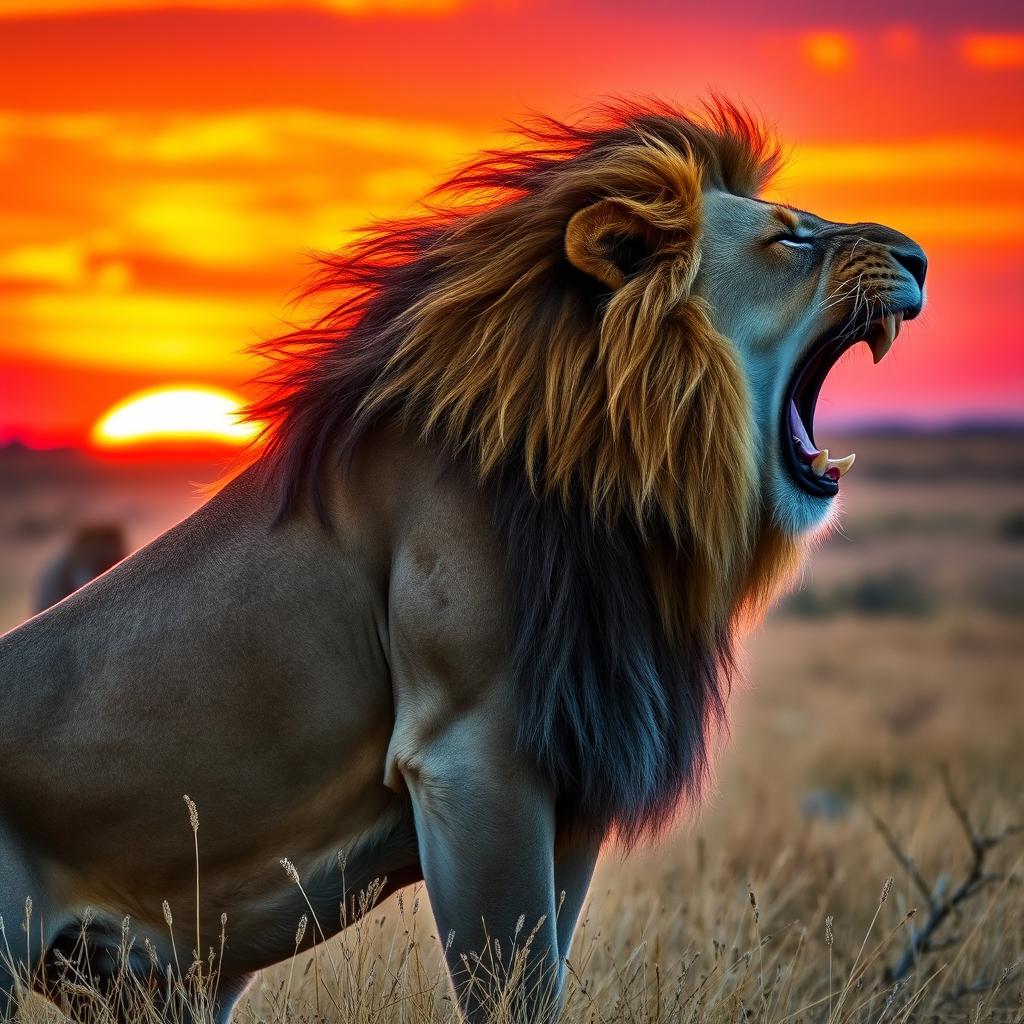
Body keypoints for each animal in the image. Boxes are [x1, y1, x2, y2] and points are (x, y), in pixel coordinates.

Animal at [0, 99, 926, 1023]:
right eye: (789, 238)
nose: (918, 258)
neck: (606, 484)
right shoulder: (472, 757)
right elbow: (513, 984)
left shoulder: (576, 768)